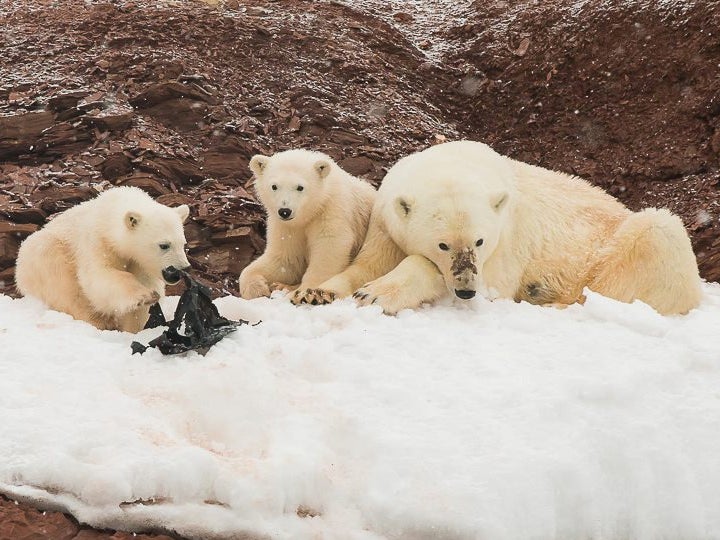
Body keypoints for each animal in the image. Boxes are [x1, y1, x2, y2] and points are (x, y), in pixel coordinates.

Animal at [292, 140, 696, 316]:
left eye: (480, 241)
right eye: (442, 244)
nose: (466, 291)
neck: (454, 161)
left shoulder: (508, 239)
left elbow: (489, 282)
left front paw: (377, 294)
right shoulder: (386, 220)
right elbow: (369, 262)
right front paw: (315, 292)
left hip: (621, 246)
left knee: (655, 236)